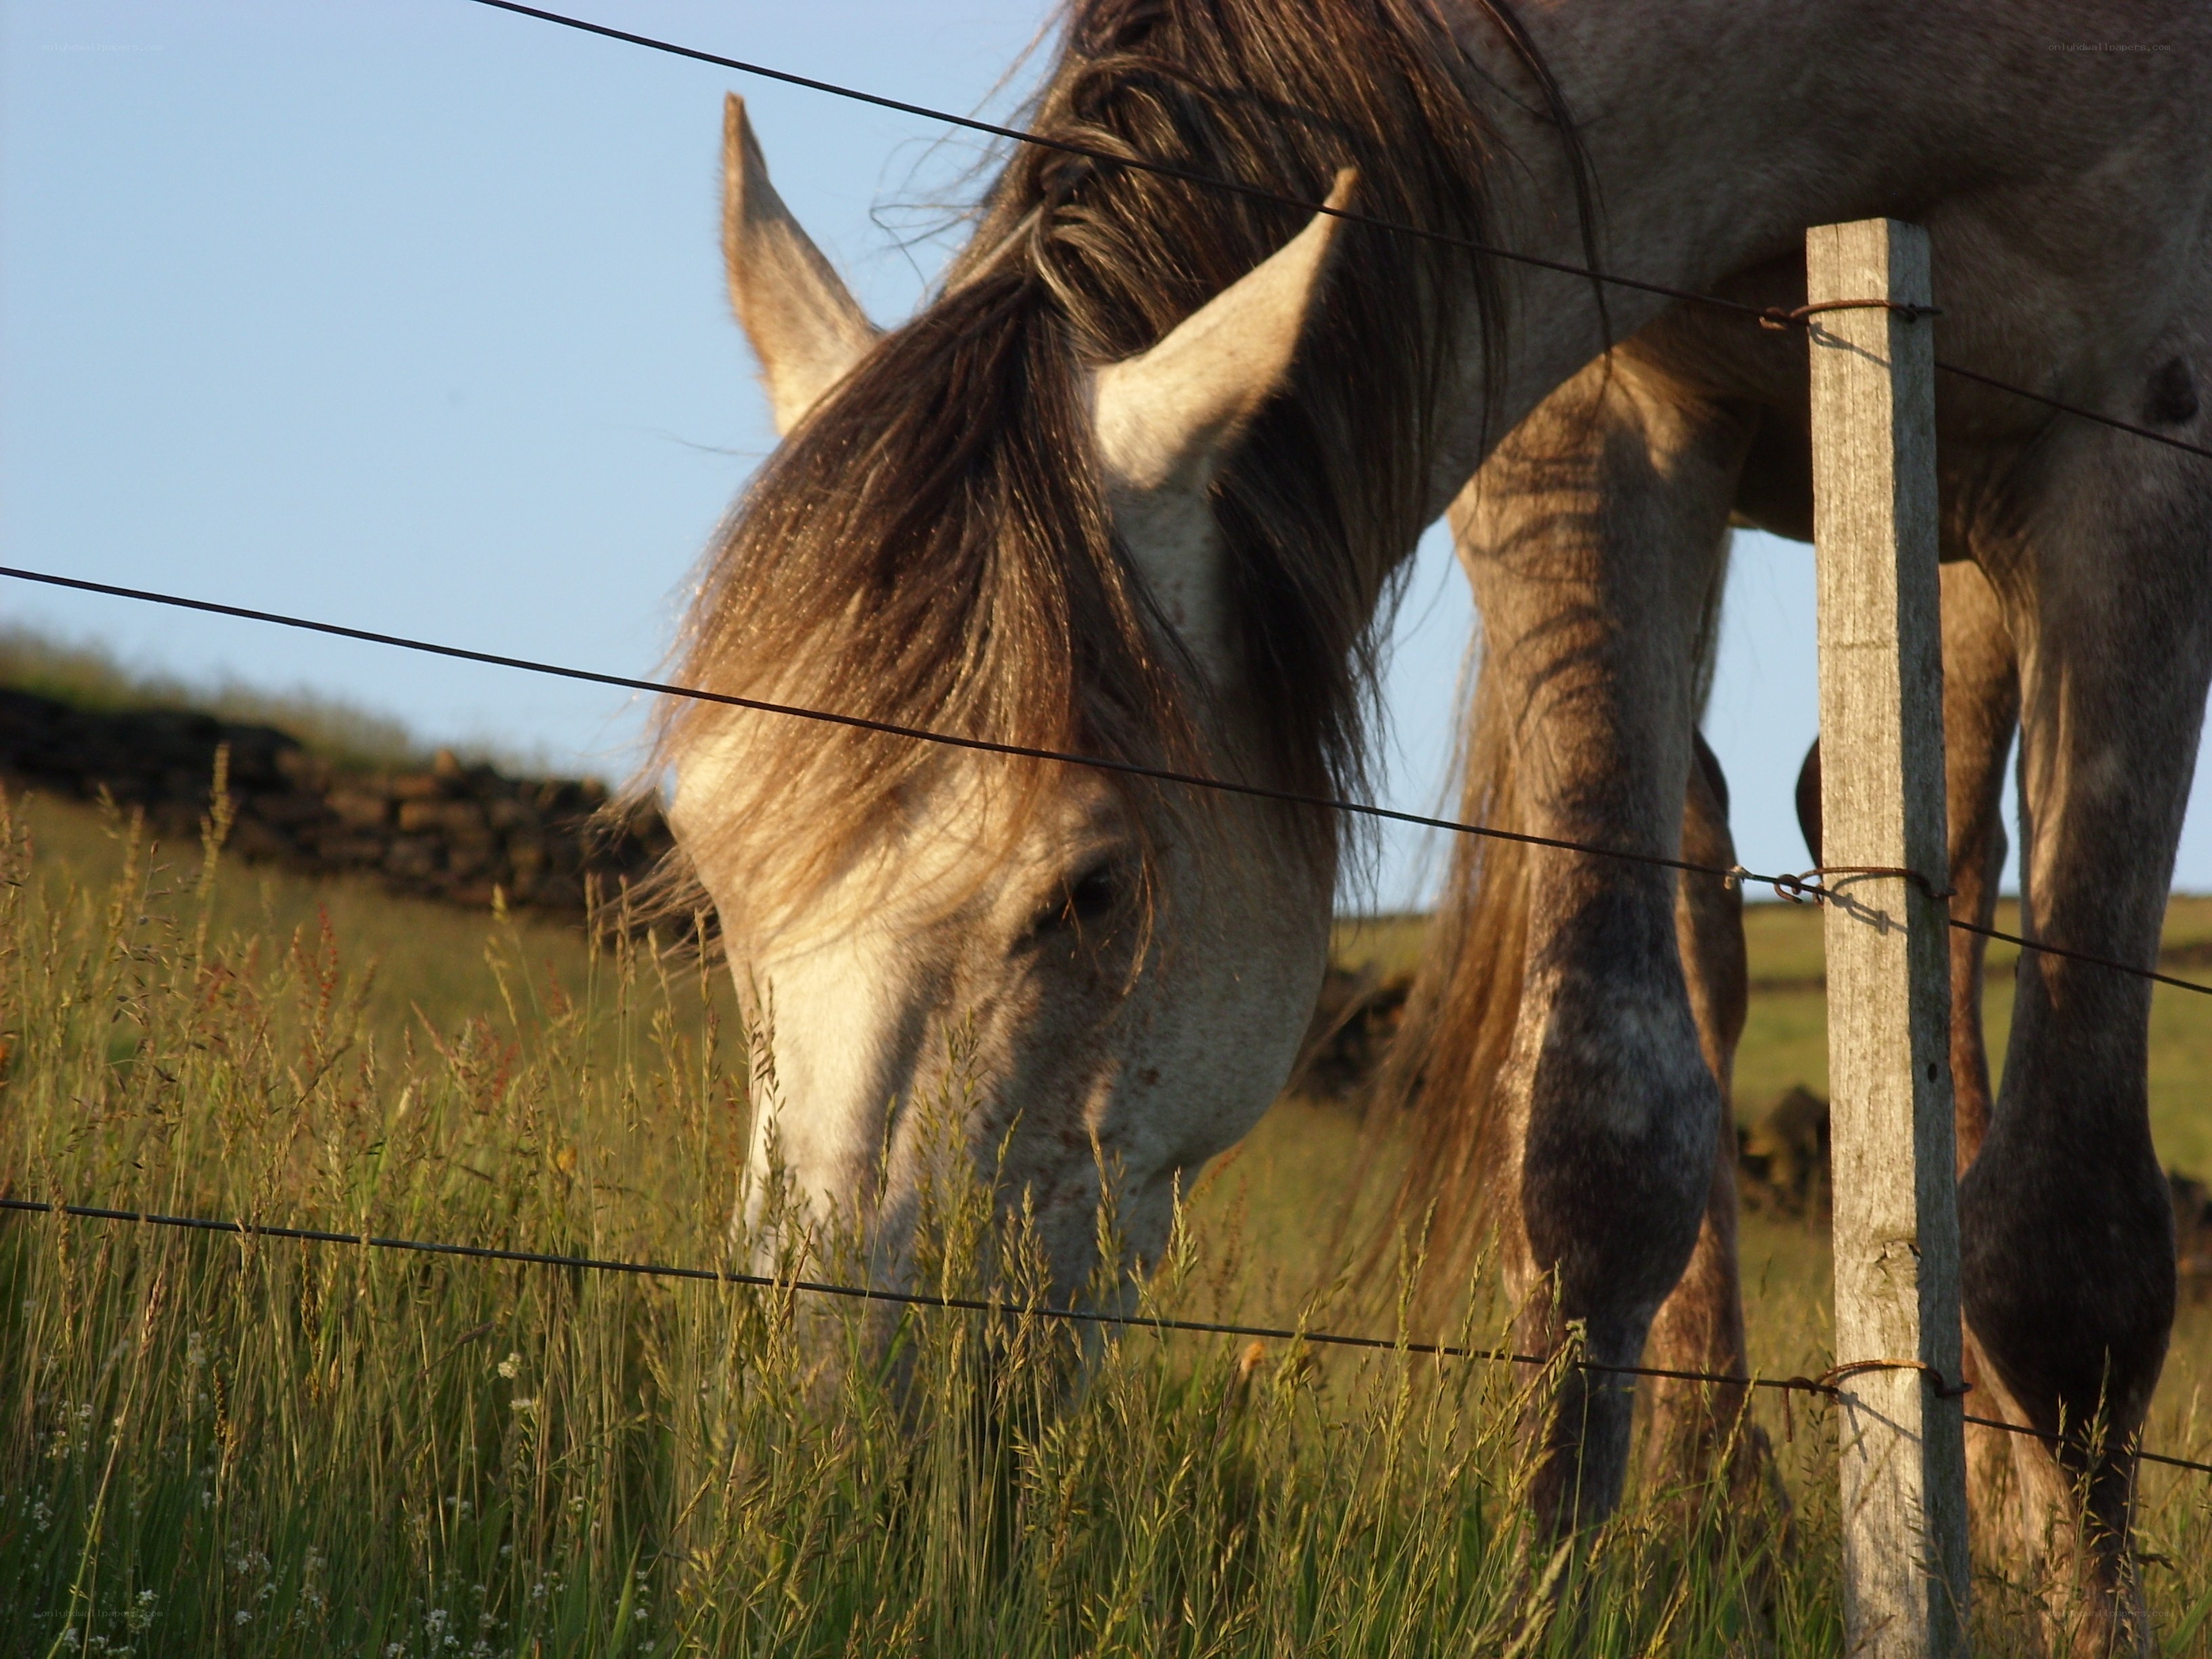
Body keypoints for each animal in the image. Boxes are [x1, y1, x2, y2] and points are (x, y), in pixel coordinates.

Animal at [655, 3, 2212, 1648]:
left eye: (1089, 888)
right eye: (709, 864)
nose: (812, 1446)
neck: (1860, 75)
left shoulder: (2142, 456)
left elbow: (2069, 1240)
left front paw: (2092, 1605)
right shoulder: (1596, 421)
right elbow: (1598, 1138)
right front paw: (1554, 1591)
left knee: (1958, 891)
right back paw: (1728, 1514)